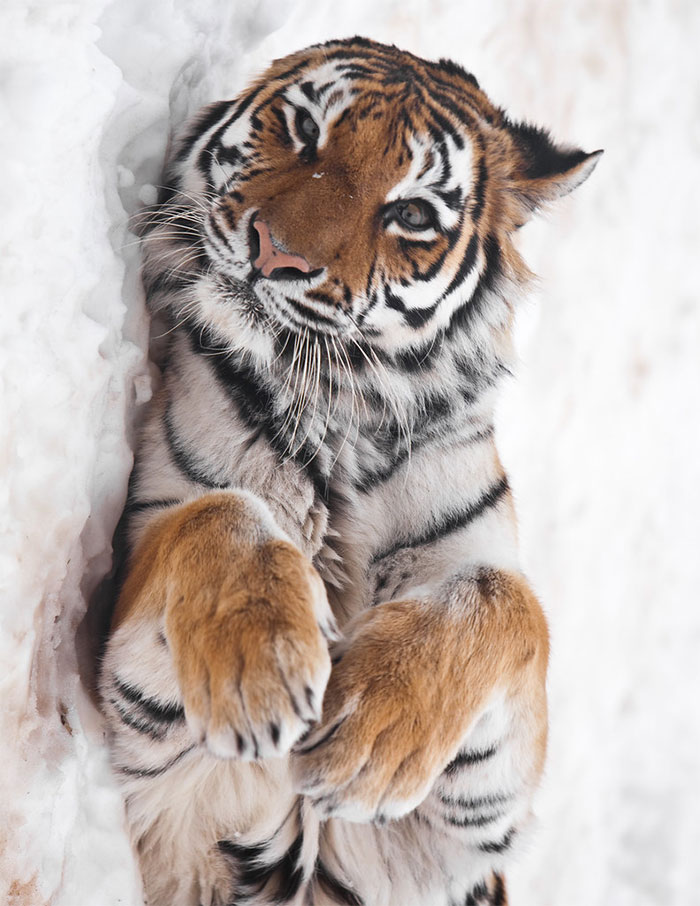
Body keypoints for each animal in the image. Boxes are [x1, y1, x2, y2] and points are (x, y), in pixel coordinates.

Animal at [99, 36, 600, 906]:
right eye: (305, 130)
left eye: (413, 214)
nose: (278, 252)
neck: (339, 409)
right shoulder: (154, 737)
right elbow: (221, 512)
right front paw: (262, 671)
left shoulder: (457, 834)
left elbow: (505, 600)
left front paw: (369, 734)